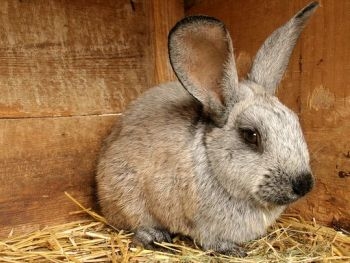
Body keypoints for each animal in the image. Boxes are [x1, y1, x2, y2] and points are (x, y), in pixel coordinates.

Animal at [97, 1, 318, 258]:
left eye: (295, 121)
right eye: (250, 135)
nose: (304, 184)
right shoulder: (202, 226)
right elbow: (210, 240)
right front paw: (234, 251)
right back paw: (154, 236)